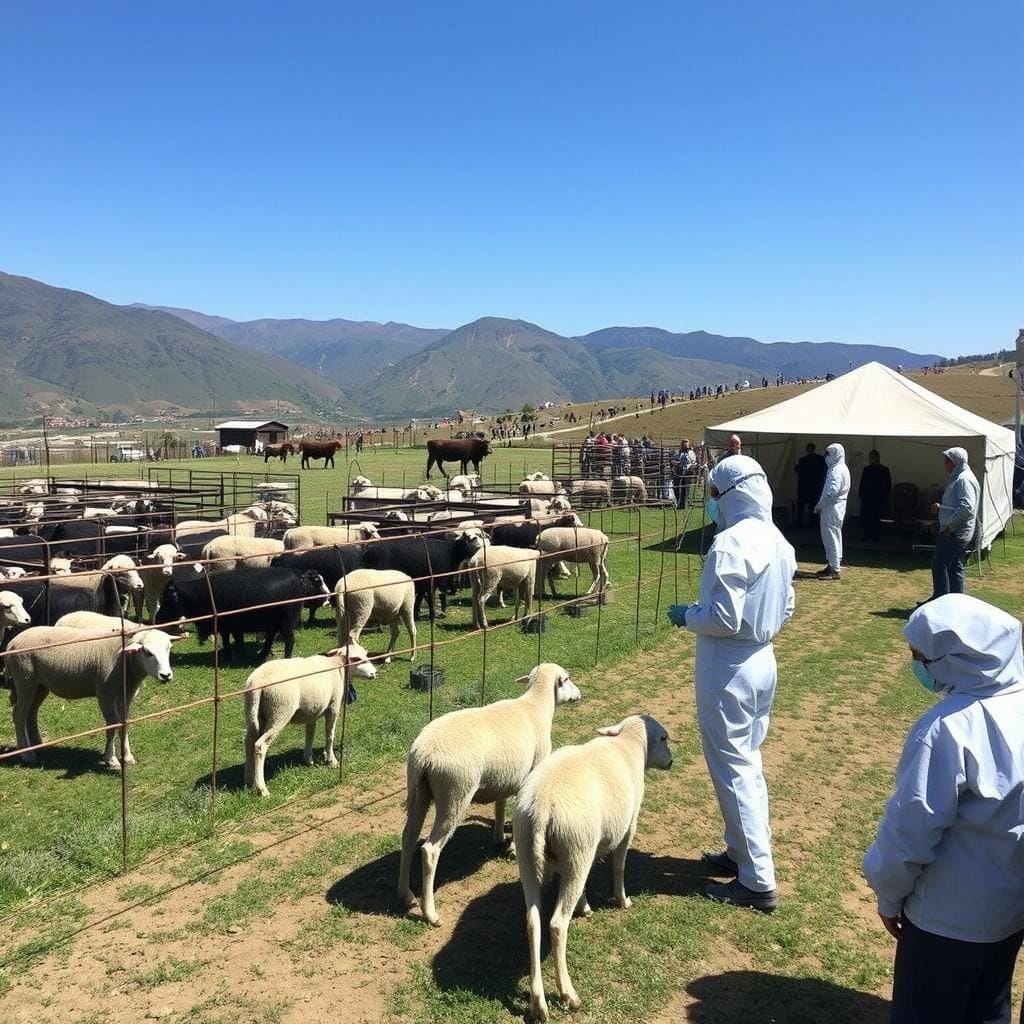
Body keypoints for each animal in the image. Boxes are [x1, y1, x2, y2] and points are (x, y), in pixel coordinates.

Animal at [6, 622, 186, 770]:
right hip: (25, 678)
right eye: (147, 652)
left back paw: (37, 744)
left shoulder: (126, 694)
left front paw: (127, 756)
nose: (166, 675)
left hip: (40, 685)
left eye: (168, 648)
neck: (125, 661)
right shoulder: (105, 693)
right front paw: (111, 759)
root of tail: (11, 643)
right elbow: (112, 724)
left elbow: (124, 723)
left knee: (32, 712)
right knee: (19, 713)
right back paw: (27, 754)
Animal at [154, 569, 327, 663]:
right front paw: (238, 653)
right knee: (270, 638)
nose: (157, 619)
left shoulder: (225, 625)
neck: (199, 594)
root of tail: (298, 579)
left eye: (168, 599)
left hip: (286, 622)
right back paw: (261, 654)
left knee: (289, 640)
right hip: (274, 622)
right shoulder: (233, 626)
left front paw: (229, 656)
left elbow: (227, 640)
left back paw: (285, 658)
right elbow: (237, 640)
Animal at [241, 638, 378, 798]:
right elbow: (330, 735)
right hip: (280, 710)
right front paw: (331, 760)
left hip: (254, 712)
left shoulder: (313, 710)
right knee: (260, 745)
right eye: (355, 658)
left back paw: (249, 780)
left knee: (249, 741)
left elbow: (310, 734)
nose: (374, 673)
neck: (337, 666)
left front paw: (308, 759)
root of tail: (258, 682)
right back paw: (262, 789)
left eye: (366, 654)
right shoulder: (333, 706)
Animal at [395, 663, 581, 929]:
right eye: (567, 679)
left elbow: (500, 804)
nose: (579, 694)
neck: (536, 707)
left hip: (418, 791)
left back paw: (406, 894)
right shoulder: (530, 774)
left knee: (408, 837)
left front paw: (499, 837)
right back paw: (430, 913)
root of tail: (424, 754)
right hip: (455, 793)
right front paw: (512, 846)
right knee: (429, 850)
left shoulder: (507, 777)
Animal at [516, 716, 675, 1019]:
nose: (672, 761)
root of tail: (541, 806)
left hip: (529, 856)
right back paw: (568, 994)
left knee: (533, 922)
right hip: (577, 848)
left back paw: (538, 1003)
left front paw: (585, 905)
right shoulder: (628, 827)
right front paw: (622, 900)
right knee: (556, 924)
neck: (627, 744)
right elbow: (619, 866)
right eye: (664, 738)